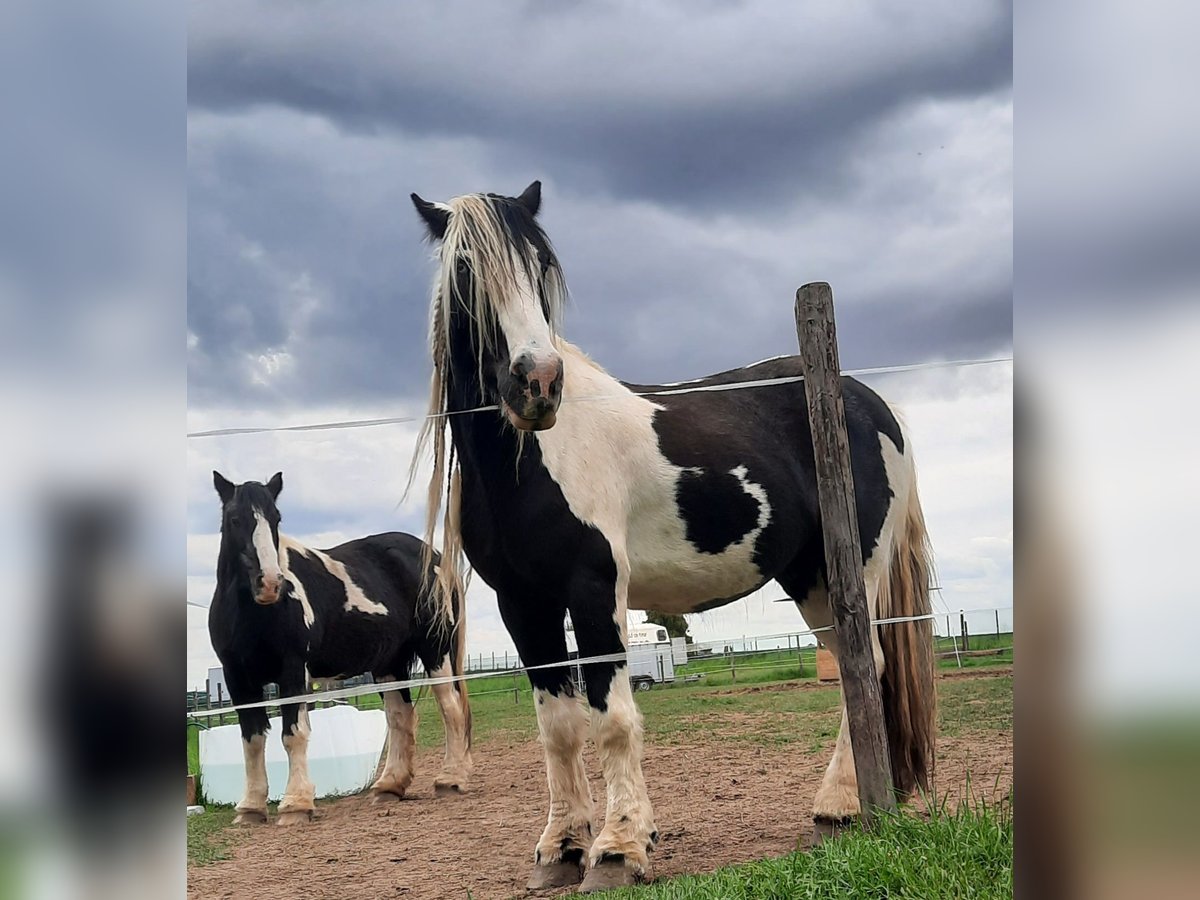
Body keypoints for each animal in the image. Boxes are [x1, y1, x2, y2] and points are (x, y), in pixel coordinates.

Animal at [208, 475, 470, 830]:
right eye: (235, 519)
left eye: (276, 519)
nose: (271, 584)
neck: (250, 613)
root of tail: (434, 556)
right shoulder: (238, 680)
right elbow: (252, 741)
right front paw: (250, 807)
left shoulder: (293, 672)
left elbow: (293, 735)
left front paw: (296, 804)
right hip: (390, 663)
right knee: (400, 716)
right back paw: (389, 787)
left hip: (436, 652)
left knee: (450, 708)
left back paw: (450, 780)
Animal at [408, 183, 940, 897]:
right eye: (466, 269)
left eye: (541, 268)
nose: (538, 382)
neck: (530, 460)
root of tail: (871, 401)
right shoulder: (523, 603)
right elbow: (558, 727)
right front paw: (561, 847)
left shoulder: (594, 589)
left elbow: (611, 719)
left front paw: (616, 849)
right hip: (811, 580)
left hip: (852, 572)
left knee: (870, 667)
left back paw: (837, 808)